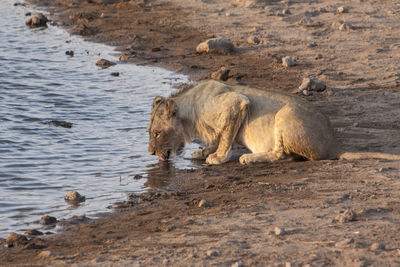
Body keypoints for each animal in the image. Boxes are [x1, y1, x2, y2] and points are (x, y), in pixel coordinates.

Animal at [147, 79, 400, 164]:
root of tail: (334, 145)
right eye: (150, 131)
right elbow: (221, 136)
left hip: (284, 114)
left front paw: (217, 157)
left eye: (157, 133)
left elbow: (226, 137)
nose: (149, 153)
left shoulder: (237, 103)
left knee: (283, 155)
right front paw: (203, 151)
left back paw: (250, 158)